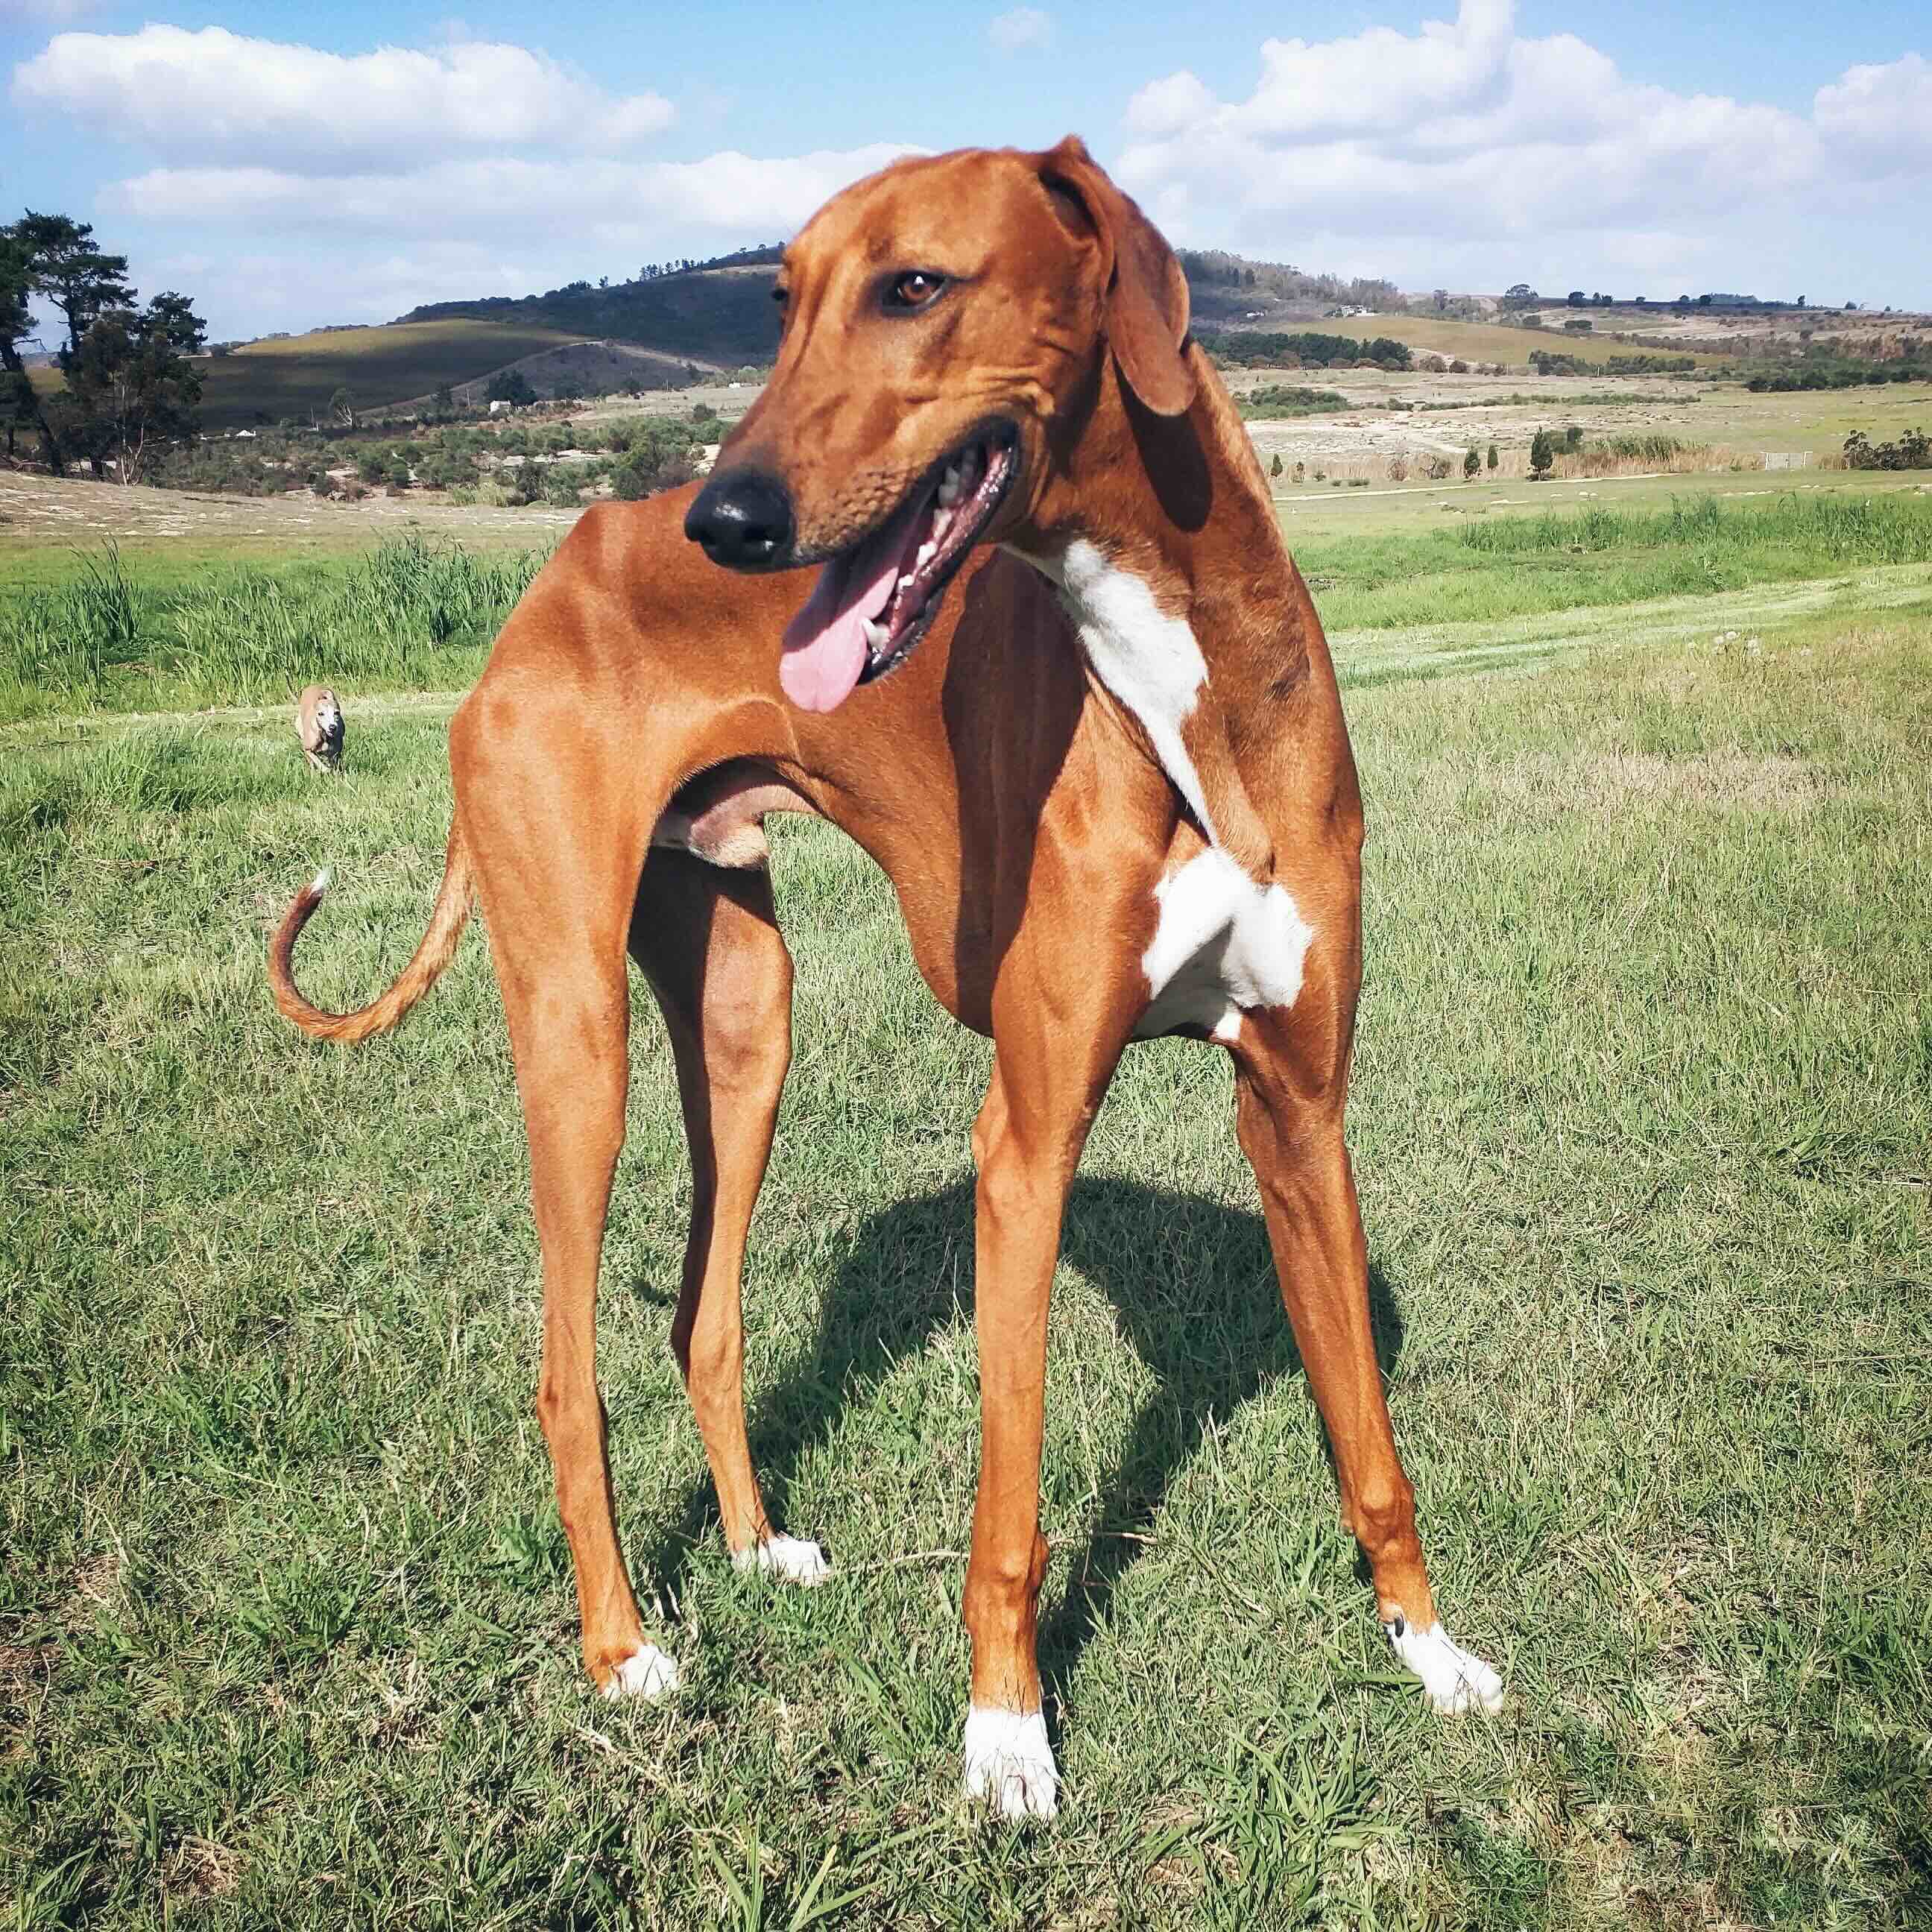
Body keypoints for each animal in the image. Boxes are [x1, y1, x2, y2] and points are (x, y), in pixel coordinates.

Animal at [272, 139, 1499, 1823]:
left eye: (913, 286)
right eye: (780, 301)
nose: (725, 520)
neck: (1178, 687)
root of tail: (550, 578)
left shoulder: (1300, 1114)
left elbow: (1369, 1442)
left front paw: (1428, 1649)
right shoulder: (1025, 1142)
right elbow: (1012, 1500)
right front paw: (1006, 1737)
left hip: (748, 1016)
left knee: (704, 1317)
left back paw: (753, 1546)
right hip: (579, 1044)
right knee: (566, 1374)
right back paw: (621, 1648)